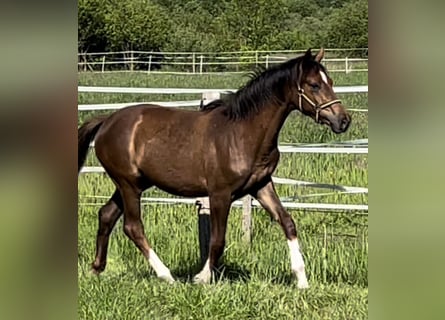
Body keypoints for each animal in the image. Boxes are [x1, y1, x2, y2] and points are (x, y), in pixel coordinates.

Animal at [78, 48, 348, 290]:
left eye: (331, 82)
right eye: (314, 85)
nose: (343, 121)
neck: (242, 133)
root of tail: (106, 121)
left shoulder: (261, 185)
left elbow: (287, 222)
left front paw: (302, 280)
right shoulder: (220, 193)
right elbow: (218, 239)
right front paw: (202, 278)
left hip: (133, 184)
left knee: (106, 215)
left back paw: (96, 269)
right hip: (129, 184)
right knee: (133, 227)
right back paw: (166, 275)